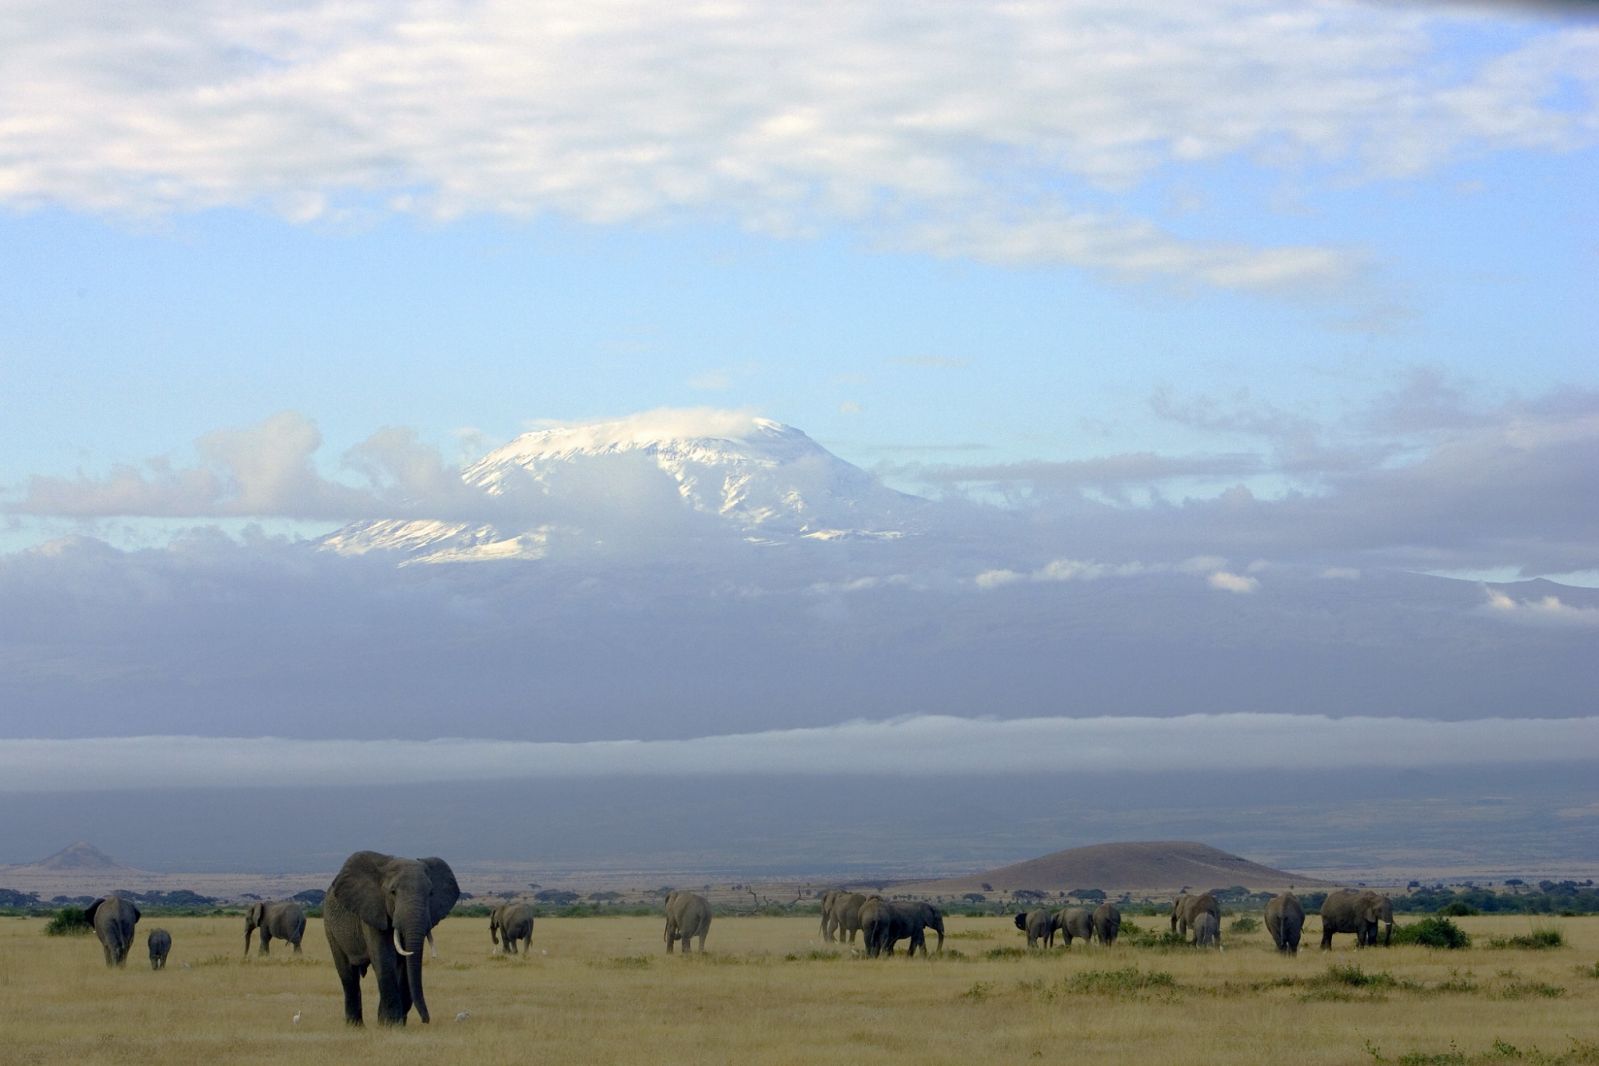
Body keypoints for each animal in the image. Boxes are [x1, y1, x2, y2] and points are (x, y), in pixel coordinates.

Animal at [323, 851, 460, 1026]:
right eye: (393, 892)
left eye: (430, 893)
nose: (426, 1020)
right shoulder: (373, 911)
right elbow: (384, 959)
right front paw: (391, 1024)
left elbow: (405, 965)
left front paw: (392, 1023)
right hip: (330, 927)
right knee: (348, 975)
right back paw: (355, 1027)